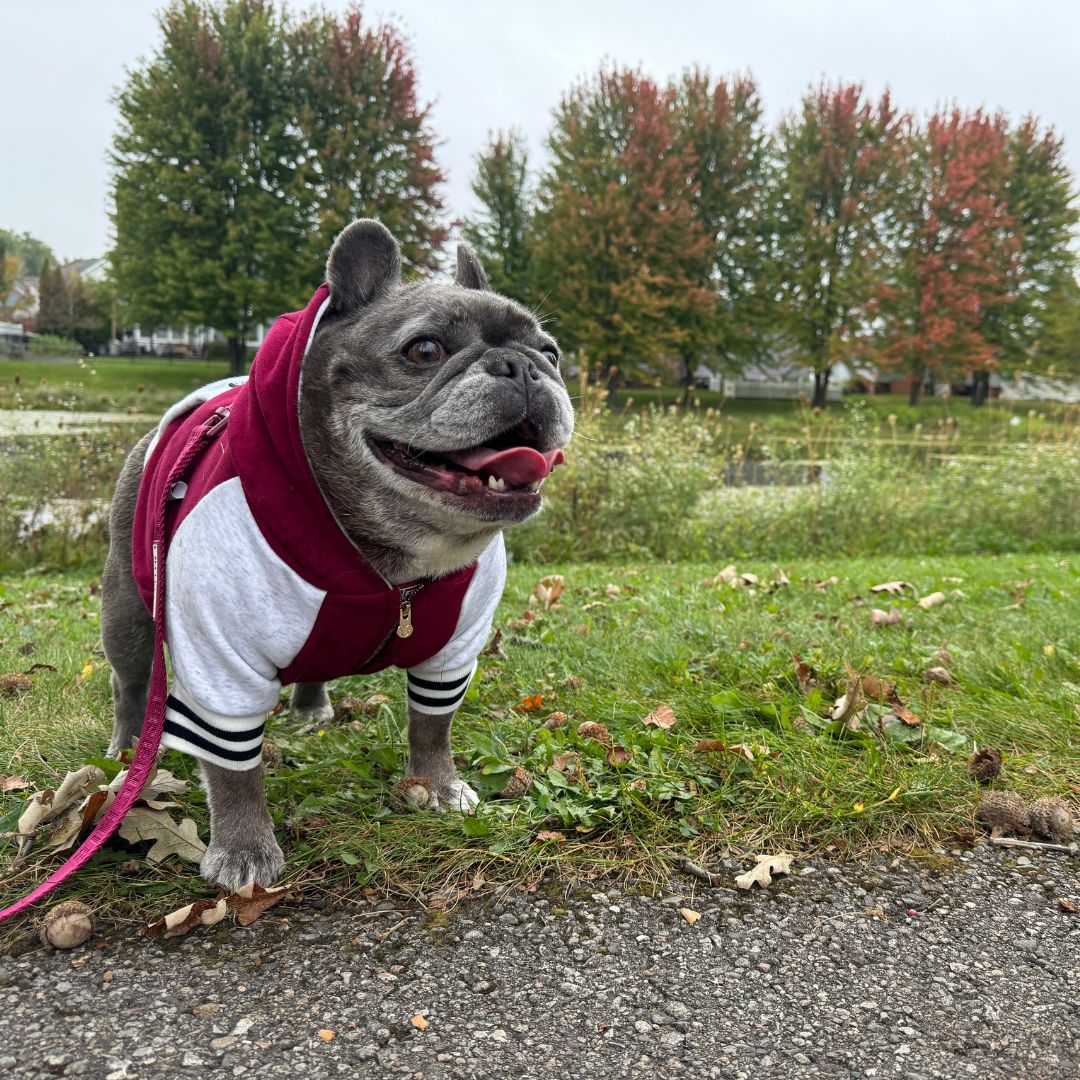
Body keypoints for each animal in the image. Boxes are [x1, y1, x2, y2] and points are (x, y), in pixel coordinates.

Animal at [99, 217, 574, 885]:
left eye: (551, 353)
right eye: (424, 351)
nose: (521, 366)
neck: (390, 562)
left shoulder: (453, 649)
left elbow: (434, 723)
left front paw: (438, 785)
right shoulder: (220, 667)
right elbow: (234, 767)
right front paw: (244, 848)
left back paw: (311, 709)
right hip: (127, 609)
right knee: (131, 681)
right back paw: (123, 751)